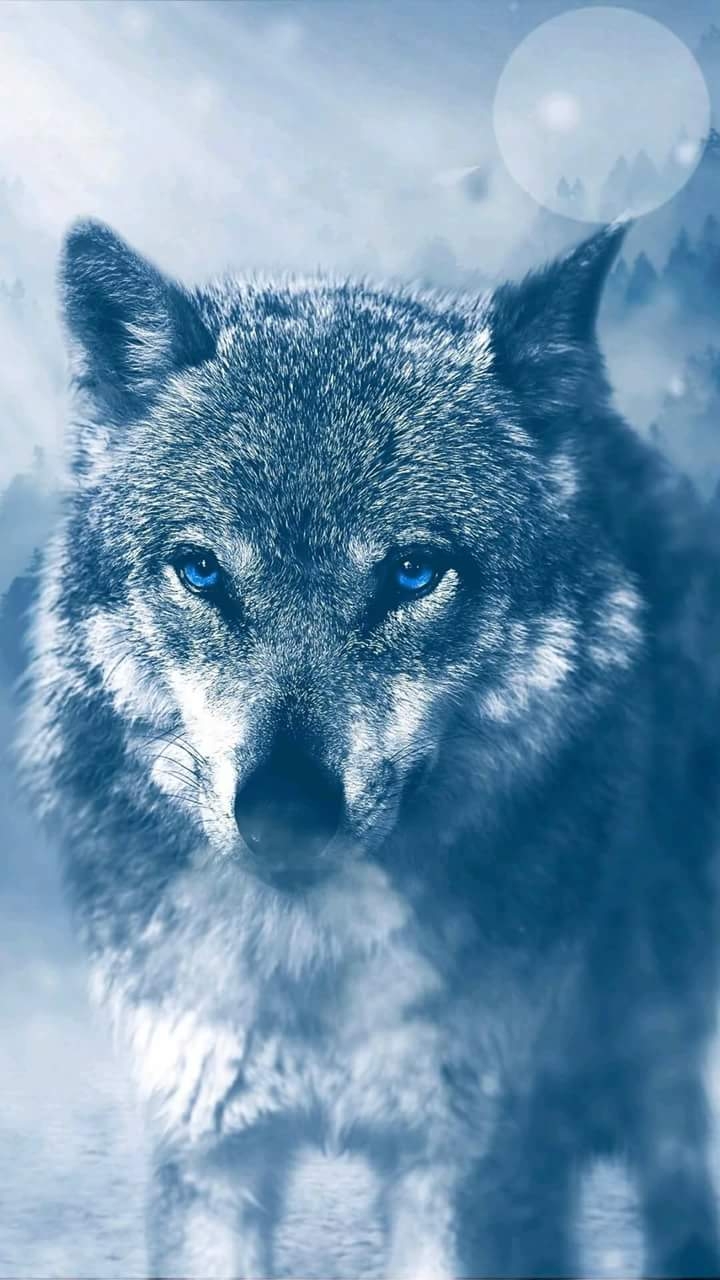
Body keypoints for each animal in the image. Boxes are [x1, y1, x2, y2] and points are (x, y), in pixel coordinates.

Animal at [15, 215, 720, 1278]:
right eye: (201, 571)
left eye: (414, 572)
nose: (285, 812)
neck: (313, 968)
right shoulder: (210, 1150)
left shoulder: (467, 1165)